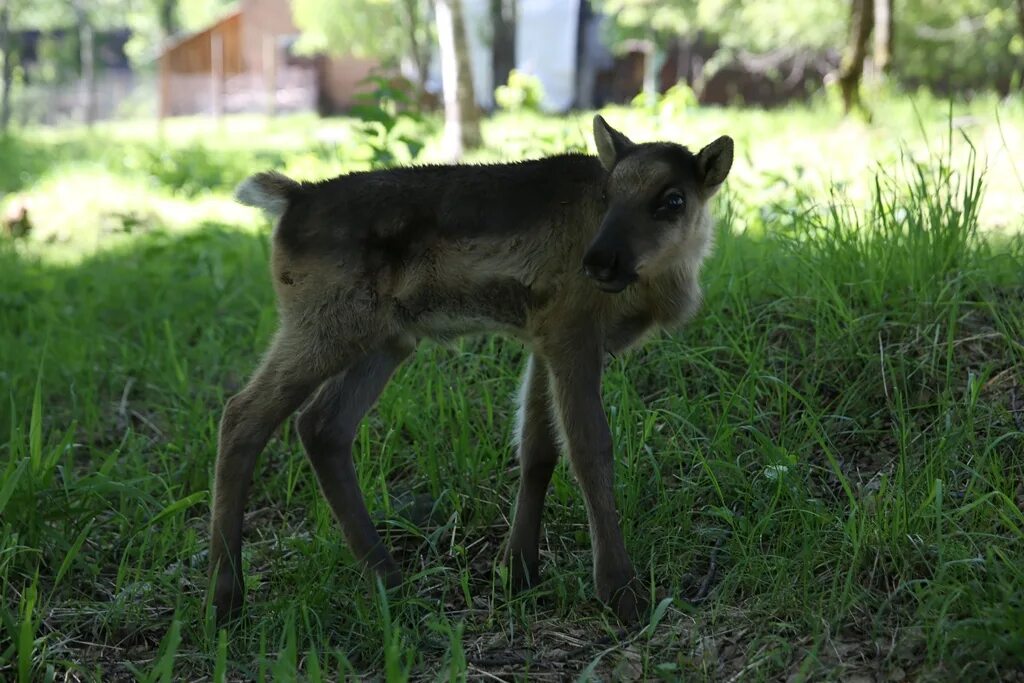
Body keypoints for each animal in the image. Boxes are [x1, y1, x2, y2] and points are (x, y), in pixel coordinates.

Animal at [209, 114, 737, 622]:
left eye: (673, 200)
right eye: (608, 194)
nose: (600, 262)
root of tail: (292, 198)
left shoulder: (543, 340)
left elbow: (538, 448)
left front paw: (517, 570)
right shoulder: (573, 333)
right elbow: (590, 449)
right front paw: (621, 592)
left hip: (385, 340)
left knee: (322, 426)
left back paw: (391, 583)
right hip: (325, 325)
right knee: (243, 415)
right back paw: (226, 601)